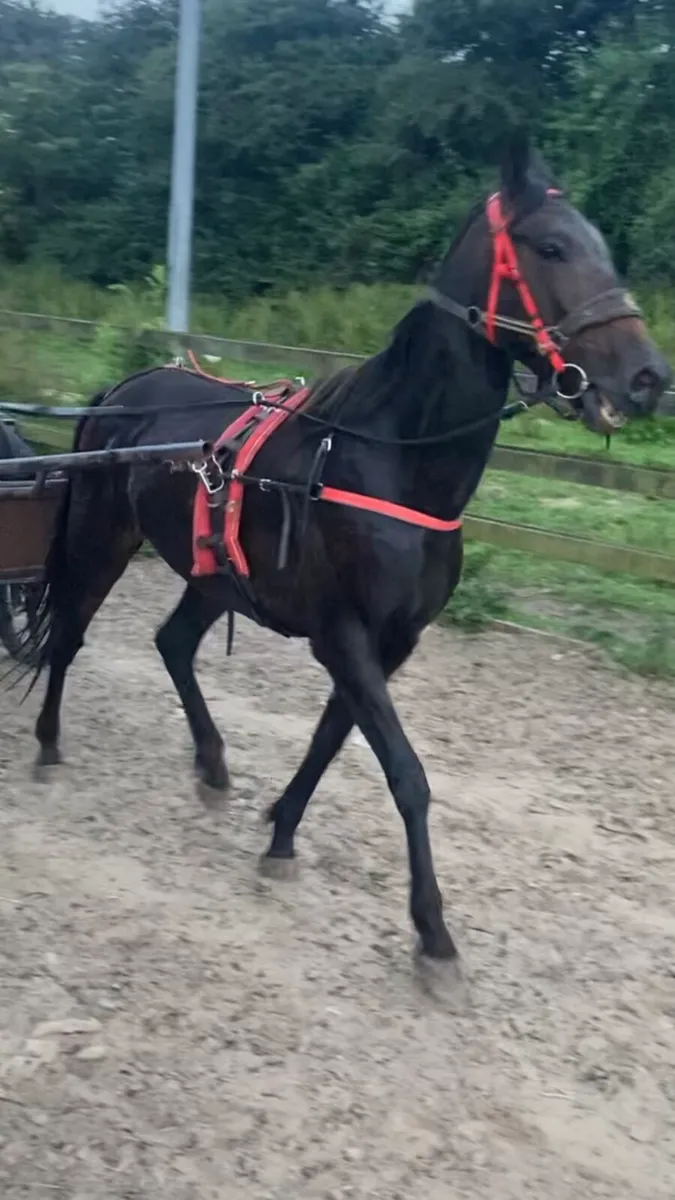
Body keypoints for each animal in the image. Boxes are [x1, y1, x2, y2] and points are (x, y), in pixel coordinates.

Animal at [25, 132, 670, 984]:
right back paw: (48, 743)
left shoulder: (389, 643)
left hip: (212, 575)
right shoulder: (344, 636)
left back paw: (211, 762)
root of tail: (122, 389)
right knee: (68, 634)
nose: (646, 376)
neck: (388, 458)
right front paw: (431, 931)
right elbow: (406, 774)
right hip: (103, 537)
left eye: (600, 241)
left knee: (172, 643)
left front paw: (280, 832)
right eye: (552, 245)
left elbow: (332, 741)